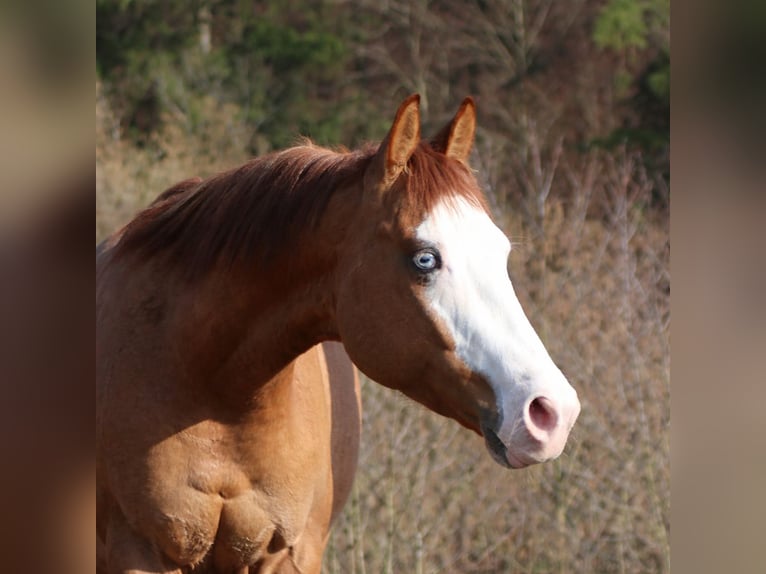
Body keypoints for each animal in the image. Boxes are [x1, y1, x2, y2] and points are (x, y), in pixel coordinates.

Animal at [96, 95, 581, 573]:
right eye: (425, 259)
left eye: (501, 252)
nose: (552, 412)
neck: (213, 390)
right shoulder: (135, 551)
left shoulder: (290, 554)